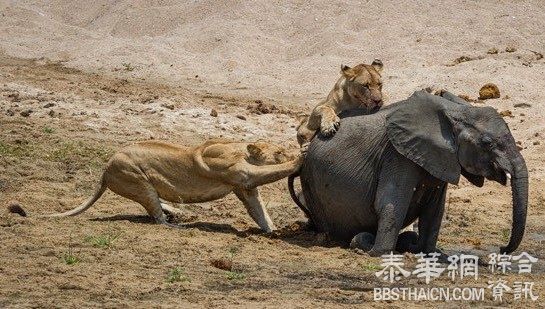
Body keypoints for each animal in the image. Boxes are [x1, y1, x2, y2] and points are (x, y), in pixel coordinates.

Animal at [288, 89, 528, 255]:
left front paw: (432, 254)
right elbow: (391, 202)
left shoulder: (439, 159)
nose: (502, 249)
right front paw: (379, 254)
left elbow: (434, 211)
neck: (454, 111)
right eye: (487, 143)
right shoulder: (396, 154)